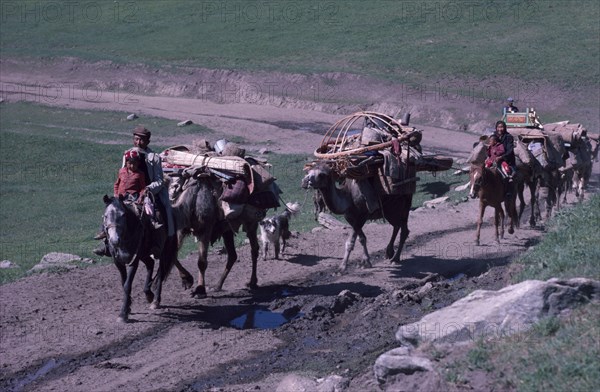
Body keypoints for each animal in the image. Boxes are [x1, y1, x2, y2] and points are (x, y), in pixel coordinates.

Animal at [102, 194, 177, 324]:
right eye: (106, 216)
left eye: (123, 215)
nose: (115, 240)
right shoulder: (118, 262)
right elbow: (123, 283)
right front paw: (128, 307)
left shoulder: (134, 260)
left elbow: (127, 285)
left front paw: (123, 314)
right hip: (144, 254)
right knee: (150, 264)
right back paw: (148, 293)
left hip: (163, 251)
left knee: (161, 273)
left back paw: (155, 301)